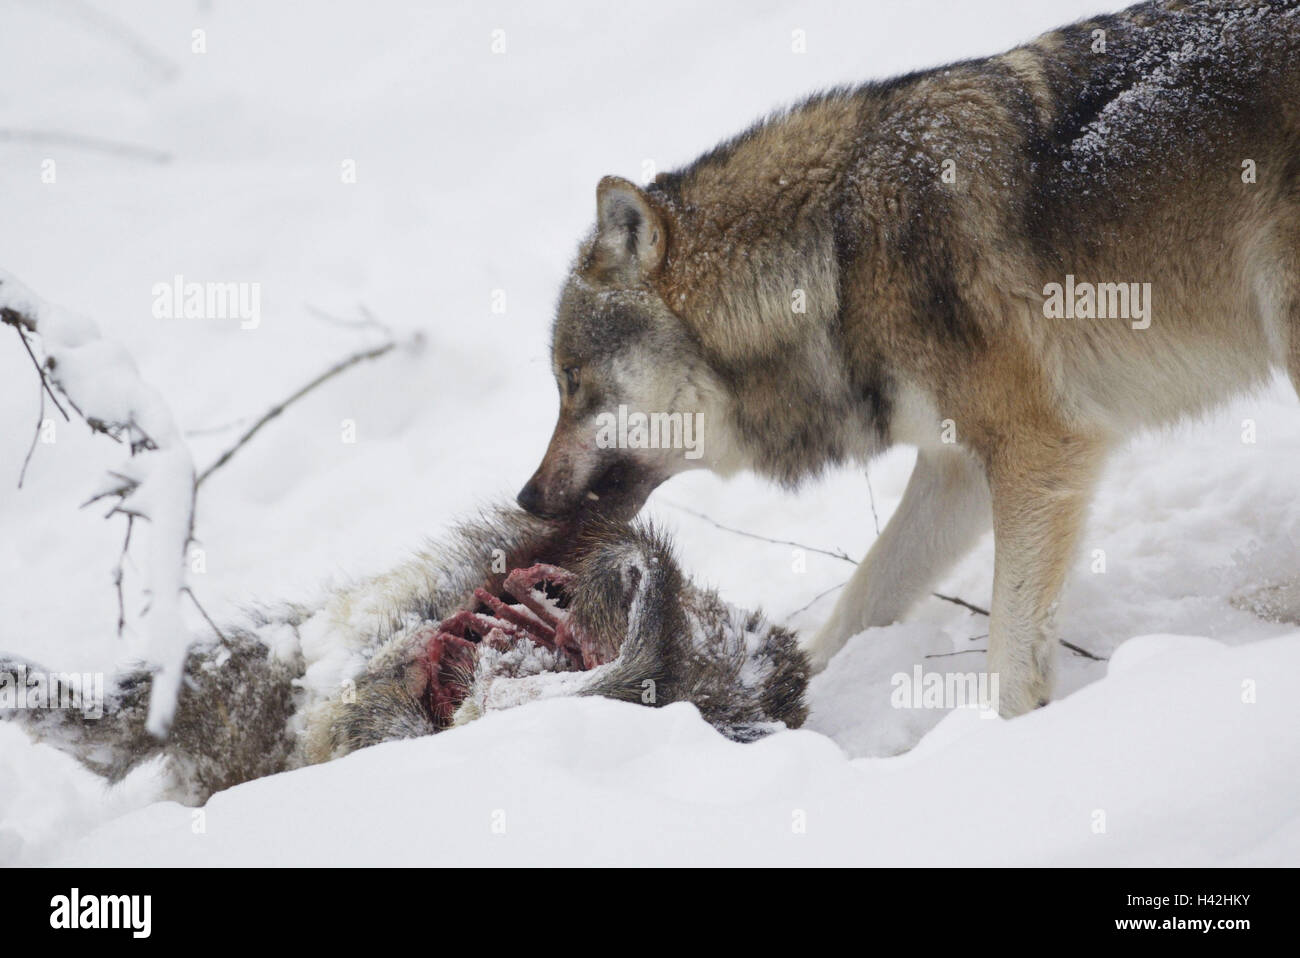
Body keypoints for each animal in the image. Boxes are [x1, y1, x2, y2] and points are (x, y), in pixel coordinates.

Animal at [517, 0, 1300, 712]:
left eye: (571, 382)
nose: (525, 498)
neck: (835, 261)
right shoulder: (958, 469)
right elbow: (864, 596)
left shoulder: (1038, 447)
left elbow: (1010, 652)